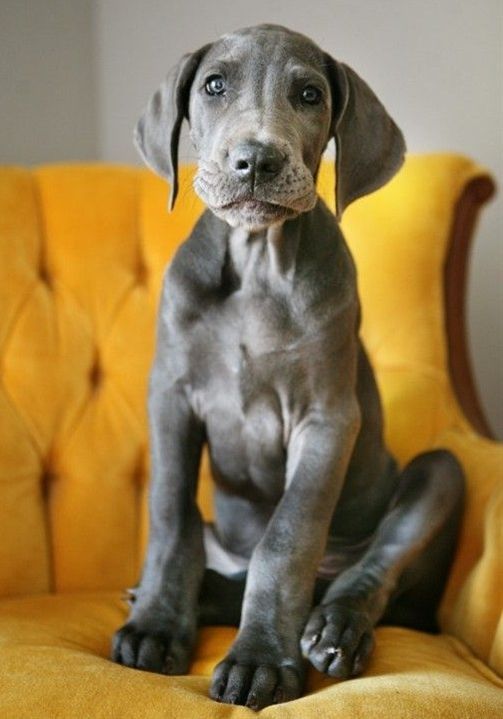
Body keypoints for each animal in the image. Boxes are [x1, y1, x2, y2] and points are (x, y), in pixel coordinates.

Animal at [112, 23, 466, 716]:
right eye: (213, 86)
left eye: (308, 95)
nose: (256, 161)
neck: (256, 265)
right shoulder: (171, 398)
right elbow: (170, 516)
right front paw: (158, 625)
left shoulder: (326, 419)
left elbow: (287, 537)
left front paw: (259, 660)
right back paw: (191, 597)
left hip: (438, 476)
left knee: (369, 574)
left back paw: (334, 629)